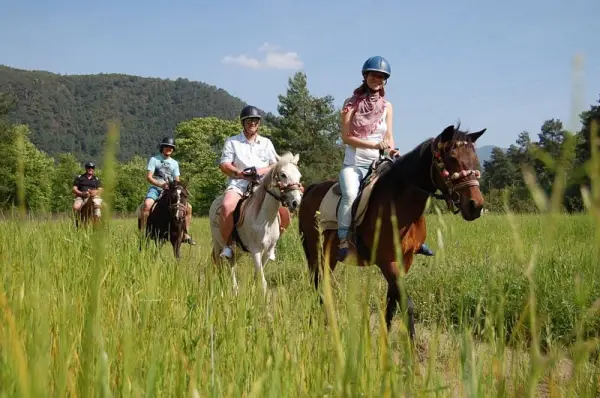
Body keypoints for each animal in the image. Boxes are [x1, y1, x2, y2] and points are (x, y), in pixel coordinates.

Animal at [210, 152, 304, 296]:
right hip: (217, 245)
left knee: (232, 265)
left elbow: (258, 274)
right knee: (220, 266)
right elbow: (262, 279)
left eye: (299, 176)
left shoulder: (267, 251)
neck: (265, 219)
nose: (296, 202)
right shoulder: (255, 250)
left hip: (237, 250)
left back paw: (235, 290)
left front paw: (252, 292)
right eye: (283, 175)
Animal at [298, 123, 486, 338]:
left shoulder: (405, 259)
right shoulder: (387, 260)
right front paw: (411, 345)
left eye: (474, 158)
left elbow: (392, 302)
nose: (475, 205)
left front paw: (385, 340)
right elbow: (406, 303)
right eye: (451, 158)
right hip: (315, 250)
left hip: (328, 255)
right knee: (318, 283)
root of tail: (312, 189)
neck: (398, 204)